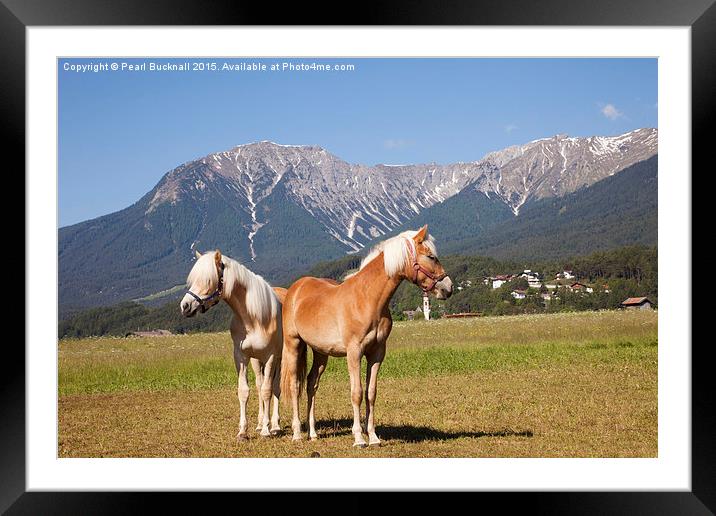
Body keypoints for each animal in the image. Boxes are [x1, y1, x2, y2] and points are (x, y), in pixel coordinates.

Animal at [180, 250, 286, 440]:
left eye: (208, 280)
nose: (185, 306)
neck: (254, 318)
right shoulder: (241, 357)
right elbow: (244, 391)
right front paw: (243, 431)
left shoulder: (271, 357)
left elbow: (268, 390)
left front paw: (267, 431)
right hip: (256, 361)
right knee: (259, 385)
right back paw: (260, 423)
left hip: (279, 359)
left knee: (275, 387)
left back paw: (274, 425)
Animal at [280, 226, 454, 448]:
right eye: (431, 257)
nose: (448, 288)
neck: (367, 299)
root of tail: (295, 289)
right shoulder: (354, 352)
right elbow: (357, 393)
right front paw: (359, 438)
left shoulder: (377, 353)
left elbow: (371, 393)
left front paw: (373, 437)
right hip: (293, 345)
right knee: (295, 385)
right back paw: (297, 434)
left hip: (321, 353)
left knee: (311, 385)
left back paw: (313, 433)